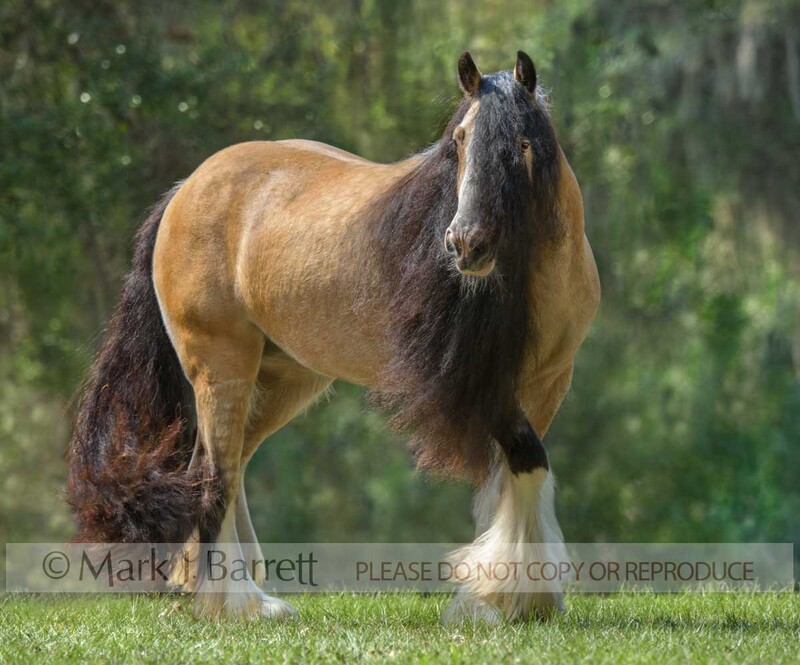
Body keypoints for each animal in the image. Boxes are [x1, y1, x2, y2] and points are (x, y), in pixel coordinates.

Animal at [66, 50, 600, 623]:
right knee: (214, 475)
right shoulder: (480, 386)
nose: (465, 244)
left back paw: (209, 587)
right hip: (221, 366)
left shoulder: (546, 384)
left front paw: (509, 599)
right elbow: (528, 460)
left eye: (522, 143)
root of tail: (185, 190)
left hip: (281, 379)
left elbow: (511, 478)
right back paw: (241, 604)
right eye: (459, 140)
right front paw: (508, 596)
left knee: (221, 465)